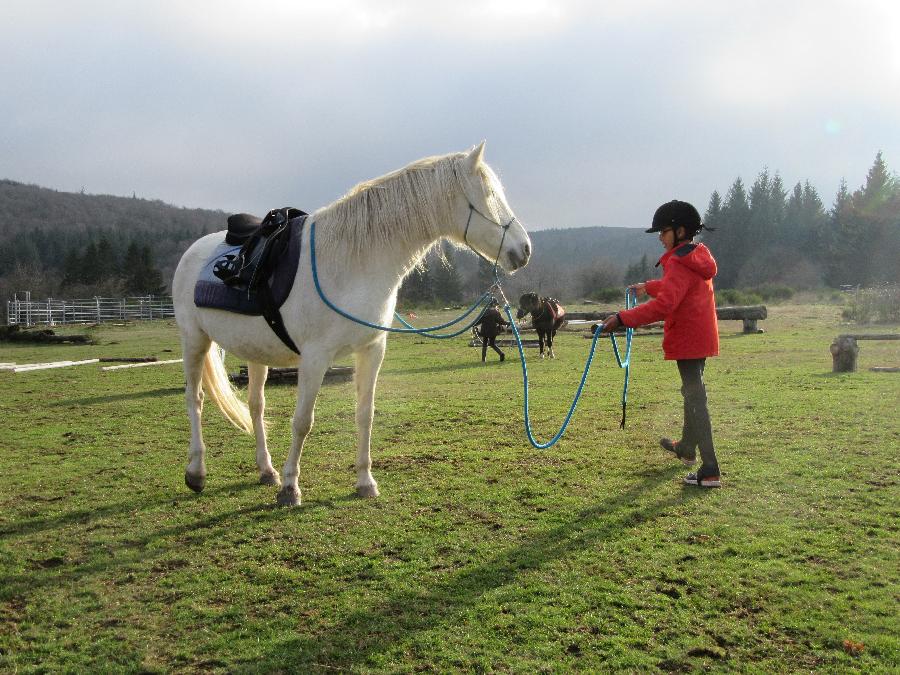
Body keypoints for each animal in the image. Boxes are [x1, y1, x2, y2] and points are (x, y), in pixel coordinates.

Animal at [172, 144, 532, 508]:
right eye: (489, 193)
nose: (525, 250)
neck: (349, 263)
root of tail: (195, 250)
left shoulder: (371, 351)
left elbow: (365, 415)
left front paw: (364, 481)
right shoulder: (314, 358)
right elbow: (303, 422)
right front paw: (290, 488)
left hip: (256, 353)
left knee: (256, 407)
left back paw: (266, 470)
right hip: (195, 340)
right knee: (195, 398)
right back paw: (196, 472)